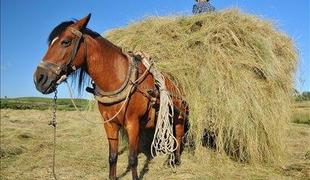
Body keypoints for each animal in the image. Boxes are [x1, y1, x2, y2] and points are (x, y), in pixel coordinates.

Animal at [34, 14, 189, 180]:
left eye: (65, 42)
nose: (39, 79)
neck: (117, 79)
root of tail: (177, 85)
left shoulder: (132, 124)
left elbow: (132, 159)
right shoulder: (109, 124)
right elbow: (112, 156)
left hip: (179, 117)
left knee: (178, 135)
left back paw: (176, 160)